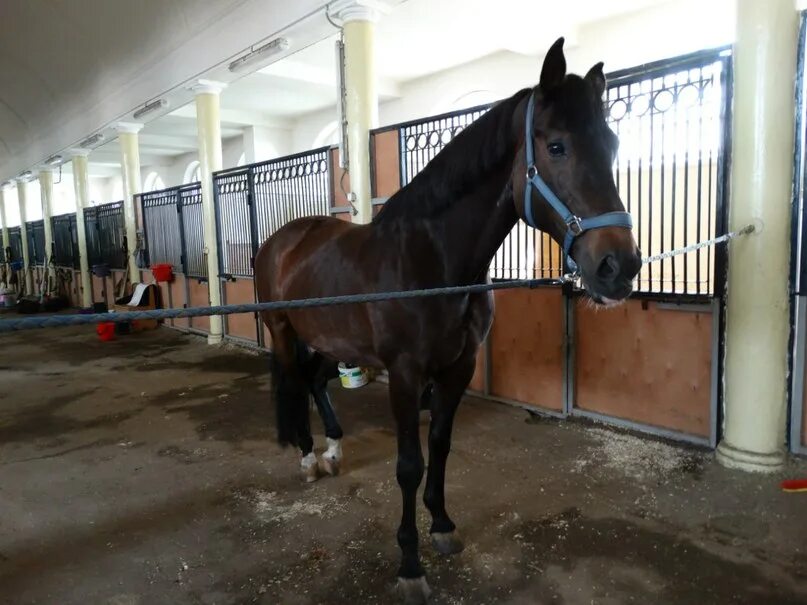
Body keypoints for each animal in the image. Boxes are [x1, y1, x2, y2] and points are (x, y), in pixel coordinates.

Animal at [256, 36, 640, 600]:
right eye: (557, 147)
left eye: (611, 144)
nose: (619, 267)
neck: (432, 262)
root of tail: (283, 239)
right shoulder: (405, 373)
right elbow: (409, 465)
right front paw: (410, 565)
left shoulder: (458, 368)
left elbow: (440, 445)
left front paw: (441, 526)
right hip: (284, 332)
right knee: (292, 382)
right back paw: (308, 457)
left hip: (334, 343)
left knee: (313, 381)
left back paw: (333, 450)